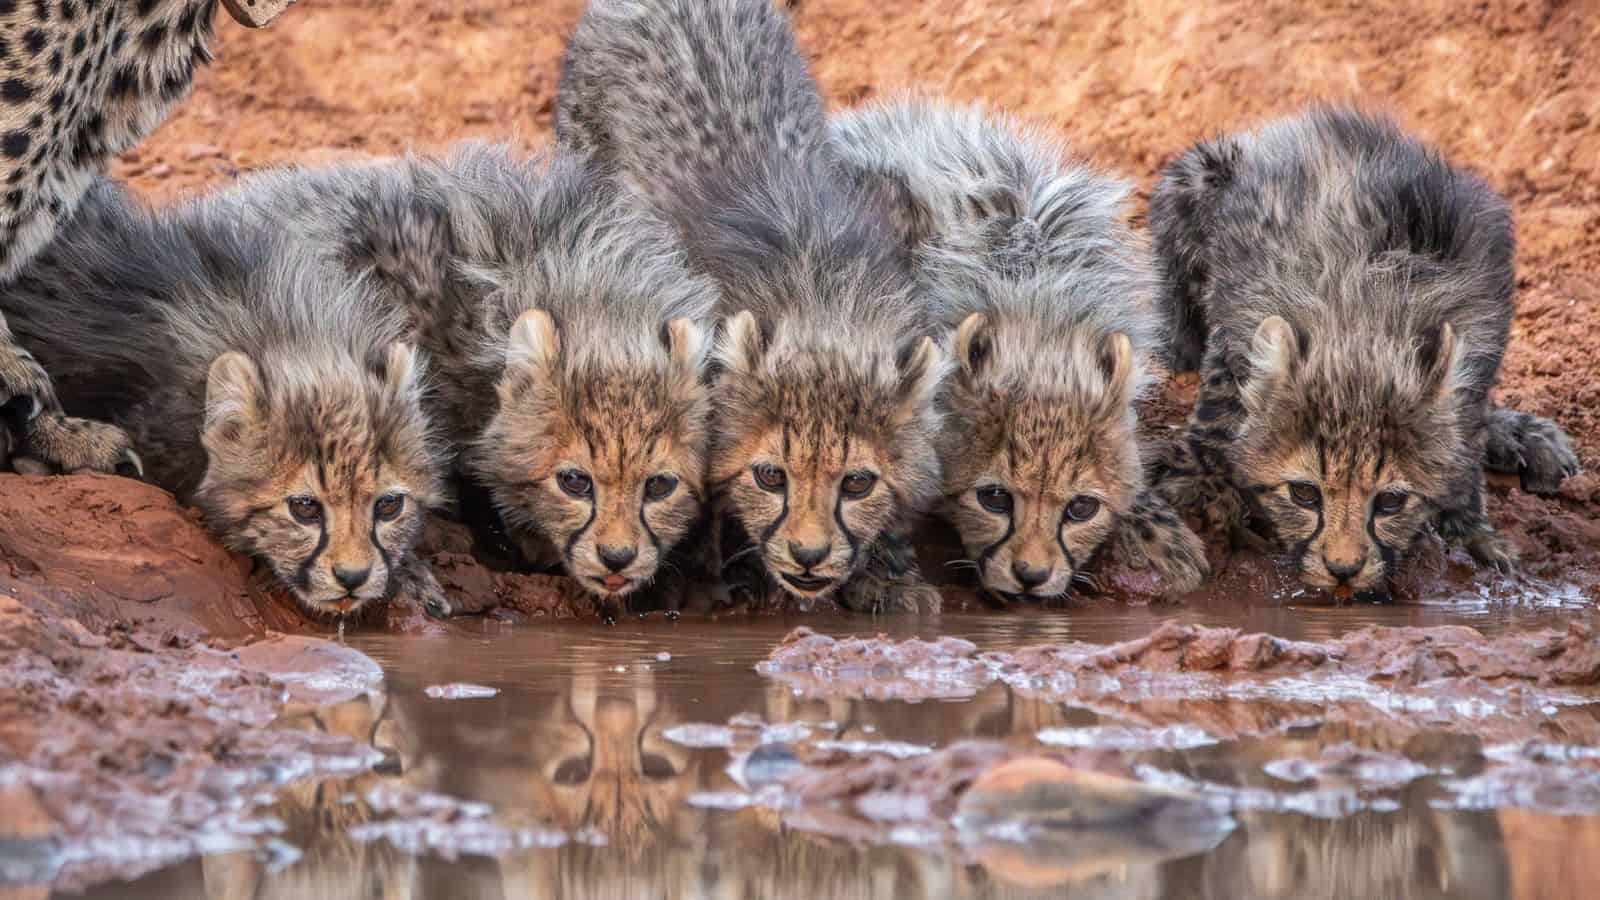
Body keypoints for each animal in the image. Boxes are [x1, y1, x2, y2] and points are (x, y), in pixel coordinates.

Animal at [557, 0, 947, 613]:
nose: (808, 556)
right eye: (771, 476)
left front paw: (890, 574)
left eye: (857, 482)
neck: (822, 294)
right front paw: (708, 576)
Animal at [1147, 105, 1579, 598]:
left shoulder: (1478, 326)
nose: (1343, 570)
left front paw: (1470, 526)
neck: (1360, 314)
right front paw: (1201, 480)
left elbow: (1465, 429)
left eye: (1390, 502)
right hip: (1198, 178)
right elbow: (1219, 403)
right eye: (1305, 494)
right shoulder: (1241, 301)